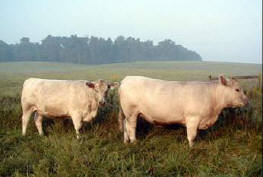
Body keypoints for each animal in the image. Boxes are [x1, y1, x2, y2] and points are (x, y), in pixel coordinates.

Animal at [119, 75, 250, 146]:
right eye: (237, 89)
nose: (247, 101)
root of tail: (126, 79)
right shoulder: (192, 118)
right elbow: (192, 136)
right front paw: (192, 147)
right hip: (131, 112)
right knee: (131, 127)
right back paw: (134, 141)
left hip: (128, 114)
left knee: (125, 125)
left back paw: (126, 141)